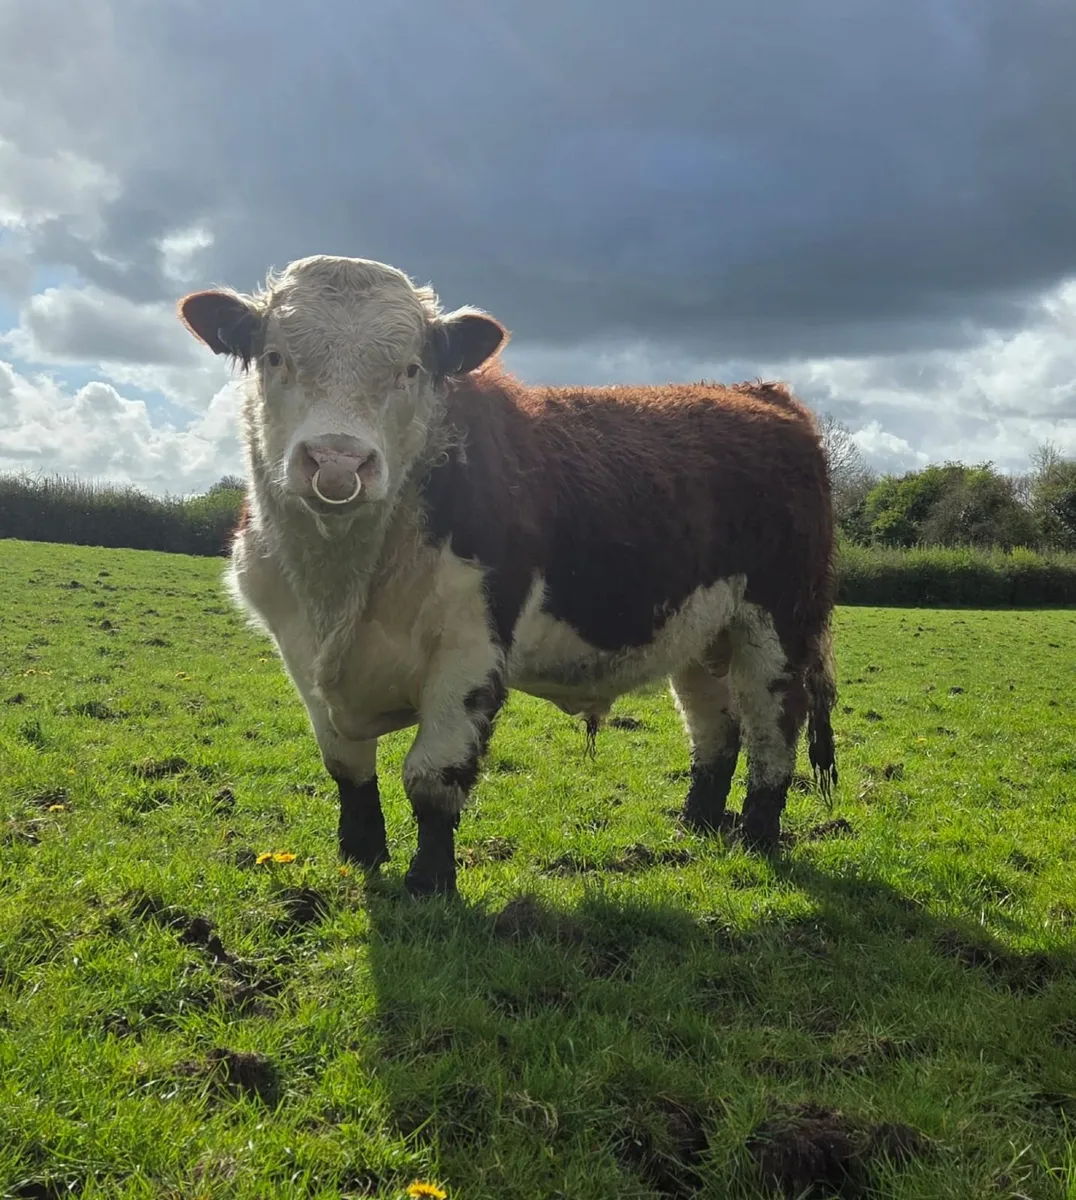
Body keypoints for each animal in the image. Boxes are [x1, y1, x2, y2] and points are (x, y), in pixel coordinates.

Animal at [177, 254, 838, 897]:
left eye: (411, 368)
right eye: (274, 356)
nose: (338, 463)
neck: (341, 587)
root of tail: (761, 396)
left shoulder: (470, 649)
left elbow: (432, 774)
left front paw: (429, 882)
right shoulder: (298, 650)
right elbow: (346, 765)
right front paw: (361, 853)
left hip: (779, 624)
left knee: (772, 727)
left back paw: (756, 836)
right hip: (700, 634)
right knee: (713, 727)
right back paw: (695, 825)